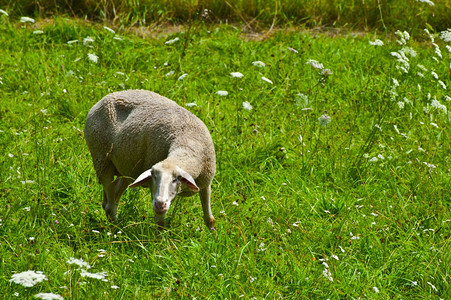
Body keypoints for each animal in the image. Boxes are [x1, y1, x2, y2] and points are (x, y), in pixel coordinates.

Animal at [83, 89, 217, 230]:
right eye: (153, 177)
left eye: (177, 178)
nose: (159, 204)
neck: (187, 142)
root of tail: (107, 97)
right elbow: (160, 224)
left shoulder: (206, 183)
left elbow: (209, 219)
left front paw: (212, 233)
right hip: (102, 159)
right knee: (109, 204)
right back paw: (115, 229)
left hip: (126, 166)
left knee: (112, 199)